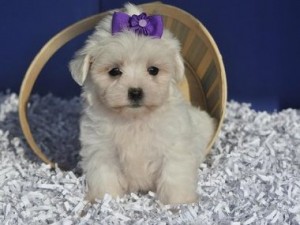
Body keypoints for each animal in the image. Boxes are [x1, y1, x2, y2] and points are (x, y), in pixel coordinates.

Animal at [69, 3, 216, 205]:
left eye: (153, 70)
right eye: (114, 71)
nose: (136, 92)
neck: (134, 119)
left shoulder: (174, 147)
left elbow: (174, 176)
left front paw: (179, 204)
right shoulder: (101, 150)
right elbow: (105, 178)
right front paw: (106, 202)